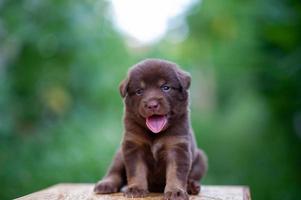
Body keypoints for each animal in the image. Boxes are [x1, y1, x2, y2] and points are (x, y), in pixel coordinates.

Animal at [94, 58, 206, 199]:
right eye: (139, 91)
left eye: (166, 87)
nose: (152, 105)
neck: (155, 133)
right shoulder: (133, 145)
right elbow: (136, 170)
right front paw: (136, 189)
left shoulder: (177, 146)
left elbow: (176, 172)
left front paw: (175, 191)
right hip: (119, 154)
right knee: (114, 172)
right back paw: (106, 184)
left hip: (201, 158)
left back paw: (192, 186)